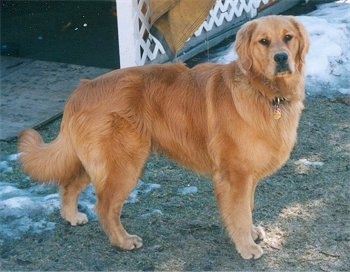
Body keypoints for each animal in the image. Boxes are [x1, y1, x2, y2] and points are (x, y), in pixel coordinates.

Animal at [18, 15, 308, 260]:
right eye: (263, 41)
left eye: (288, 37)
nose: (281, 58)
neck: (265, 92)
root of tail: (82, 89)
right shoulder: (235, 175)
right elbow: (239, 213)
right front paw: (246, 246)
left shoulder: (247, 174)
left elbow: (248, 206)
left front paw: (252, 234)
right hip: (123, 165)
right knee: (105, 207)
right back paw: (123, 241)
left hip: (96, 161)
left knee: (68, 185)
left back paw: (71, 216)